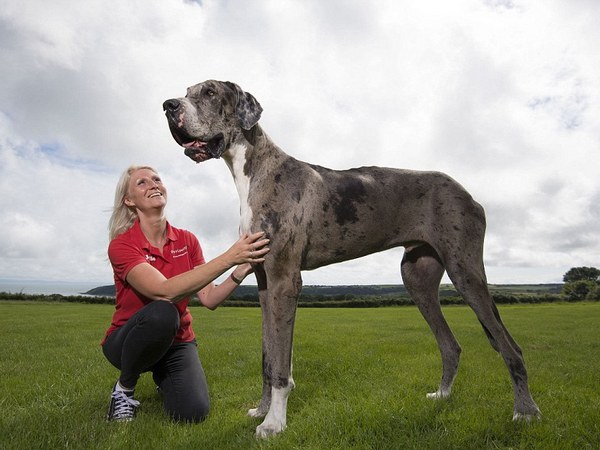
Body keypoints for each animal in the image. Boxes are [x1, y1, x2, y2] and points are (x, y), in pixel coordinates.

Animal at [162, 79, 540, 438]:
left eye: (210, 92)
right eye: (186, 92)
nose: (168, 105)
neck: (254, 170)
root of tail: (468, 193)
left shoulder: (285, 280)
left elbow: (281, 366)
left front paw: (274, 424)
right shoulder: (265, 283)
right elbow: (268, 359)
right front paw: (262, 410)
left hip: (465, 272)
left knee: (510, 346)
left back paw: (525, 412)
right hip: (416, 278)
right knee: (451, 346)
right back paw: (443, 396)